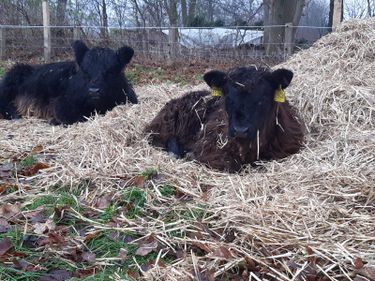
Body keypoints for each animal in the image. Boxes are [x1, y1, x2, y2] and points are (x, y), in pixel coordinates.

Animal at [0, 40, 138, 124]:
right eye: (84, 70)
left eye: (111, 70)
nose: (94, 91)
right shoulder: (62, 104)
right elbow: (78, 117)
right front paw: (54, 121)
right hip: (12, 79)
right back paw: (15, 114)